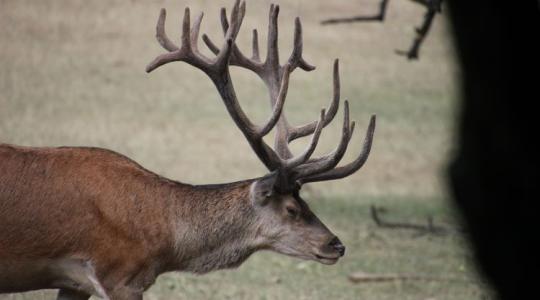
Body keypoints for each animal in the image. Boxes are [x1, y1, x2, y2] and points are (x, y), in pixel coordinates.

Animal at [0, 1, 376, 298]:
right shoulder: (118, 274)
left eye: (305, 201)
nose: (336, 245)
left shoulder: (74, 284)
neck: (165, 241)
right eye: (292, 209)